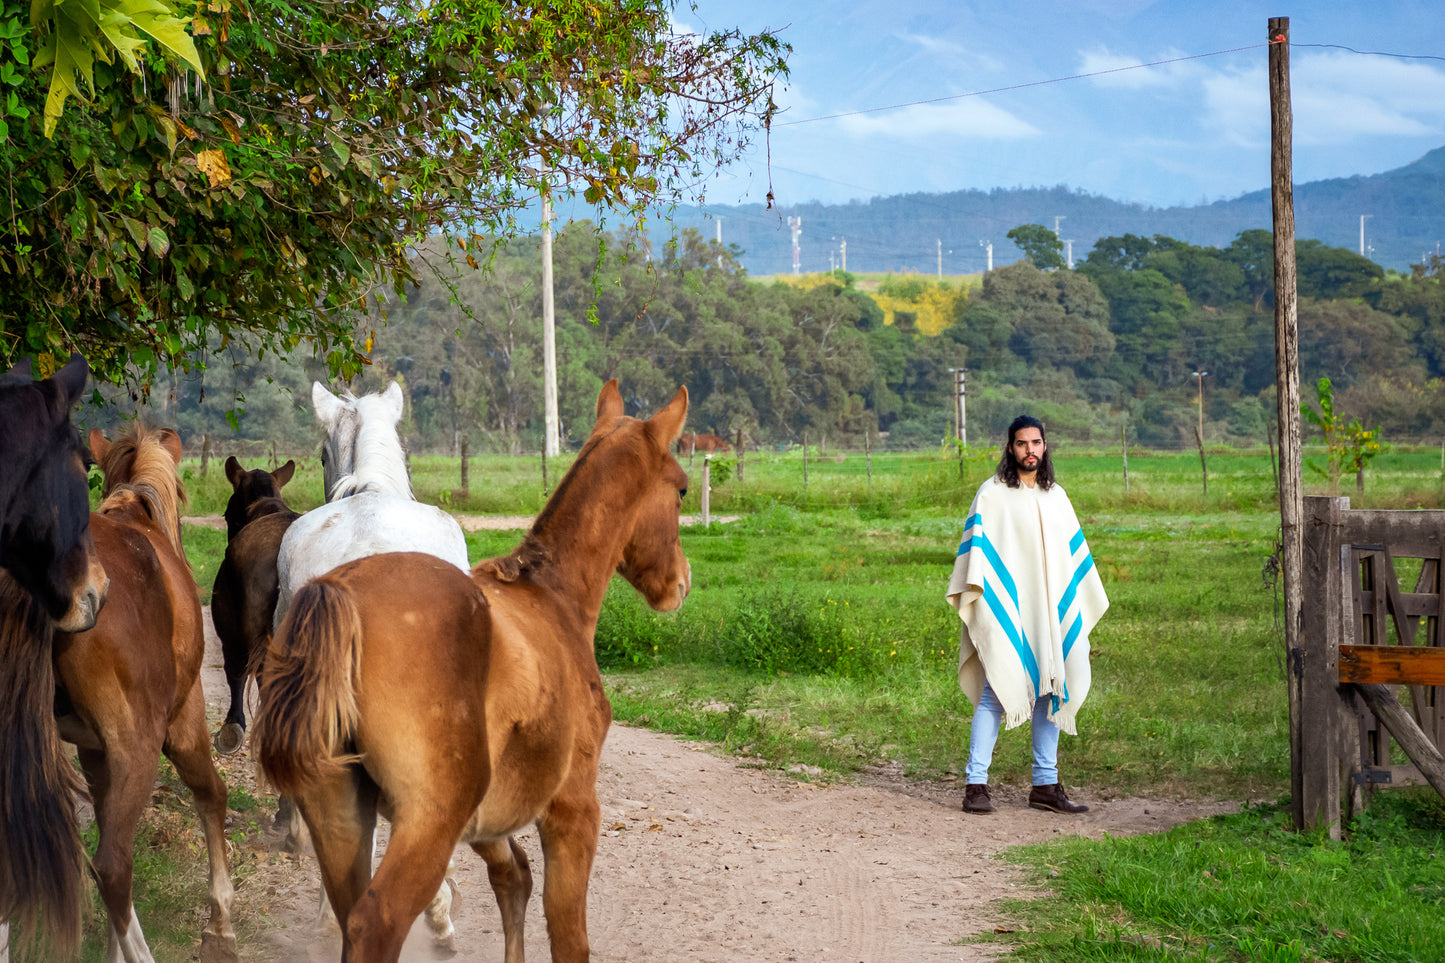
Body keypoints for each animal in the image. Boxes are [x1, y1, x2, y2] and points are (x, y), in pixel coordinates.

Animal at [52, 428, 235, 960]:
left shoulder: (93, 753)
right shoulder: (184, 721)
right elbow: (211, 795)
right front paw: (221, 923)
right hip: (143, 742)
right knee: (112, 867)